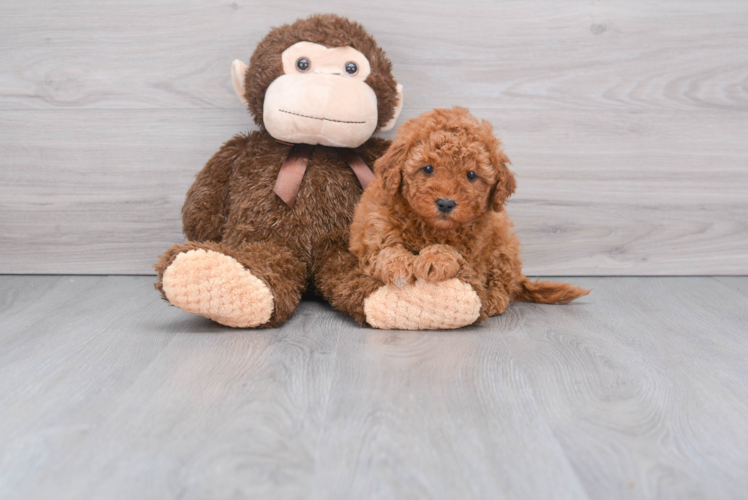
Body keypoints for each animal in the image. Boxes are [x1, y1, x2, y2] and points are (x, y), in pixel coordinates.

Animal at [350, 107, 592, 324]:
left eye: (471, 175)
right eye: (427, 168)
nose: (446, 203)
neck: (428, 227)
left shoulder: (474, 254)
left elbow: (452, 251)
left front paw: (435, 259)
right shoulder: (373, 228)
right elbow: (384, 249)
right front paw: (398, 265)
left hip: (503, 248)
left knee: (504, 284)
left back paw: (493, 299)